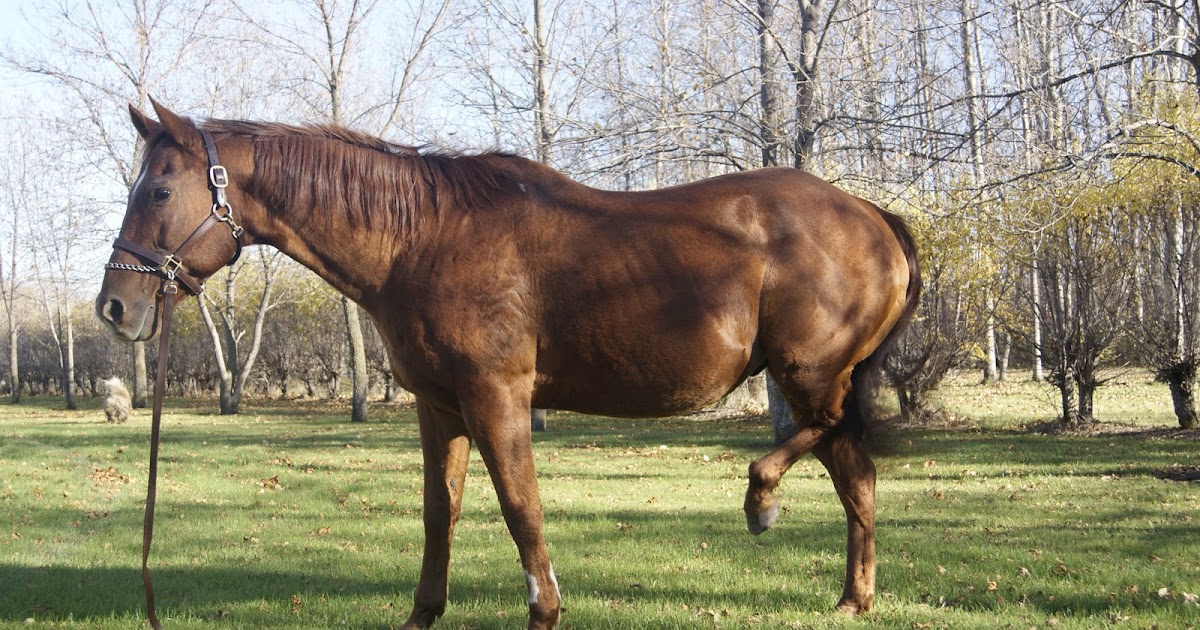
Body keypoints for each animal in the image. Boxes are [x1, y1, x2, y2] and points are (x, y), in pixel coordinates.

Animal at [96, 100, 919, 630]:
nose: (114, 307)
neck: (421, 238)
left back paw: (762, 498)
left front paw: (545, 610)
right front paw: (423, 613)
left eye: (159, 189)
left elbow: (521, 507)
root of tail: (873, 216)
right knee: (855, 473)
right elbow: (442, 511)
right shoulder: (440, 406)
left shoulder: (496, 397)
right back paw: (853, 598)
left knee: (826, 439)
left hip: (810, 373)